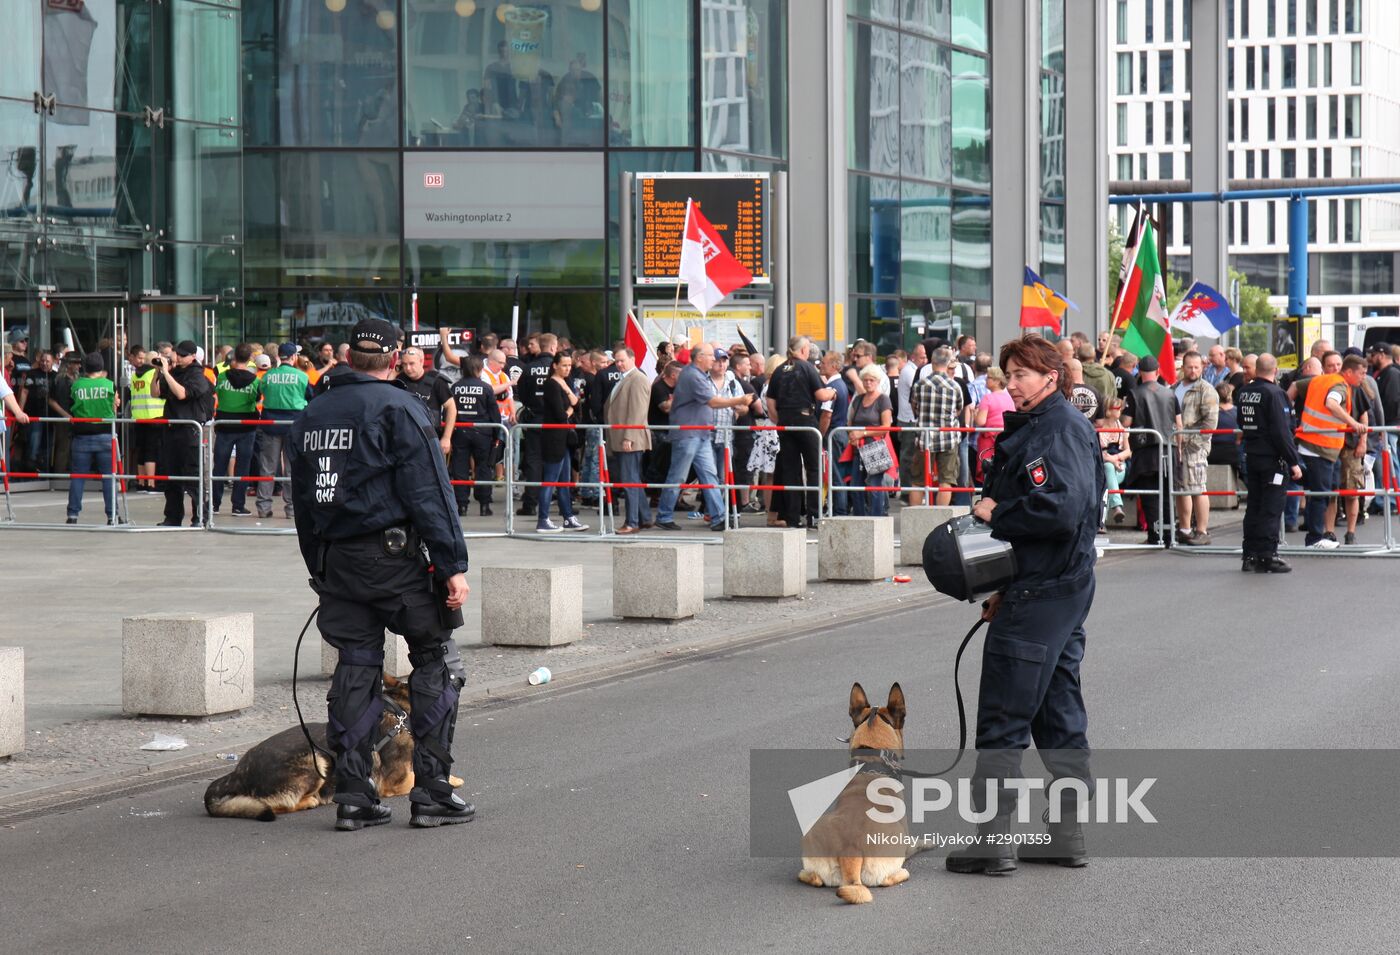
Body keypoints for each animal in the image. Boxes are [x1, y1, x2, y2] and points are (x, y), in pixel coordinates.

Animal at [204, 669, 462, 817]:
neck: (401, 712)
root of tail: (237, 773)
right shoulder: (395, 782)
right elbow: (419, 777)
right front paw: (451, 781)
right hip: (315, 760)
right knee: (280, 804)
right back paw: (310, 801)